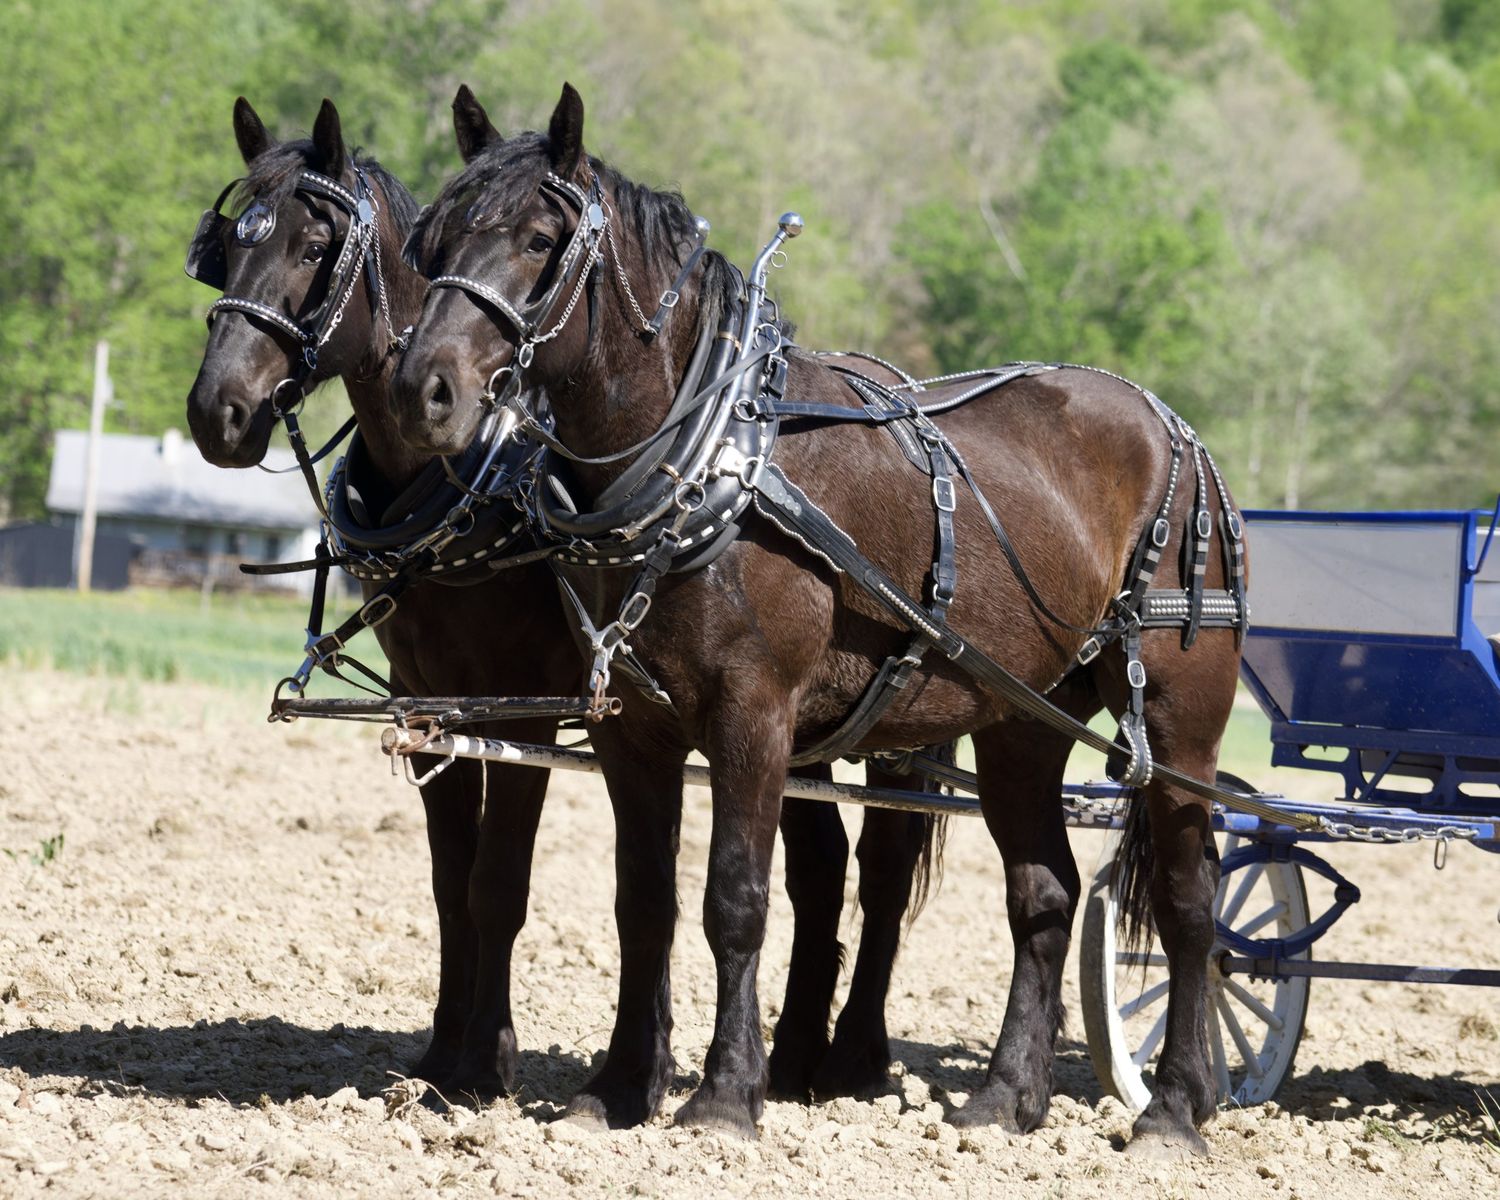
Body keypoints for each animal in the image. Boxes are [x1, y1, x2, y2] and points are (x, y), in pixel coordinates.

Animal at [183, 96, 940, 1111]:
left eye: (313, 247)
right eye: (228, 248)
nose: (216, 413)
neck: (464, 481)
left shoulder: (529, 708)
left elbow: (499, 885)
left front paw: (485, 1064)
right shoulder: (434, 701)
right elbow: (452, 885)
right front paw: (447, 1053)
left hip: (899, 721)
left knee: (885, 870)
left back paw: (855, 1057)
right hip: (802, 719)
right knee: (818, 868)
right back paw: (792, 1060)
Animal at [390, 82, 1246, 1157]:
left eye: (543, 239)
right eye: (432, 239)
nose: (423, 392)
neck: (709, 459)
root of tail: (1177, 432)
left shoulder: (753, 715)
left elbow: (736, 898)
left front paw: (726, 1097)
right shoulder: (634, 732)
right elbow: (645, 904)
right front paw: (619, 1088)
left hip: (1180, 725)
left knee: (1188, 905)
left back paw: (1173, 1107)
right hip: (1021, 725)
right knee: (1044, 896)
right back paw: (1008, 1098)